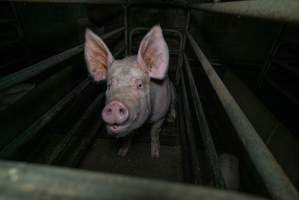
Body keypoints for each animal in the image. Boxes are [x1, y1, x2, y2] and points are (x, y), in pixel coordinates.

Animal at [85, 25, 176, 158]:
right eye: (109, 85)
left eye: (139, 85)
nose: (115, 104)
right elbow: (128, 137)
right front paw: (121, 153)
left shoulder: (160, 116)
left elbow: (154, 132)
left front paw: (155, 155)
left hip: (173, 93)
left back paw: (172, 118)